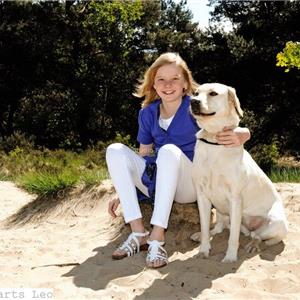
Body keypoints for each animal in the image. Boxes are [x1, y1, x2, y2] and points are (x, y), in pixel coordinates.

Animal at [191, 82, 288, 262]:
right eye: (196, 93)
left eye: (213, 93)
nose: (193, 102)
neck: (214, 140)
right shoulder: (202, 196)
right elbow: (206, 226)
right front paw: (203, 249)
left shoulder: (235, 199)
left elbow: (233, 237)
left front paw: (230, 257)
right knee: (222, 227)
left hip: (276, 224)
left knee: (257, 236)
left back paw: (253, 245)